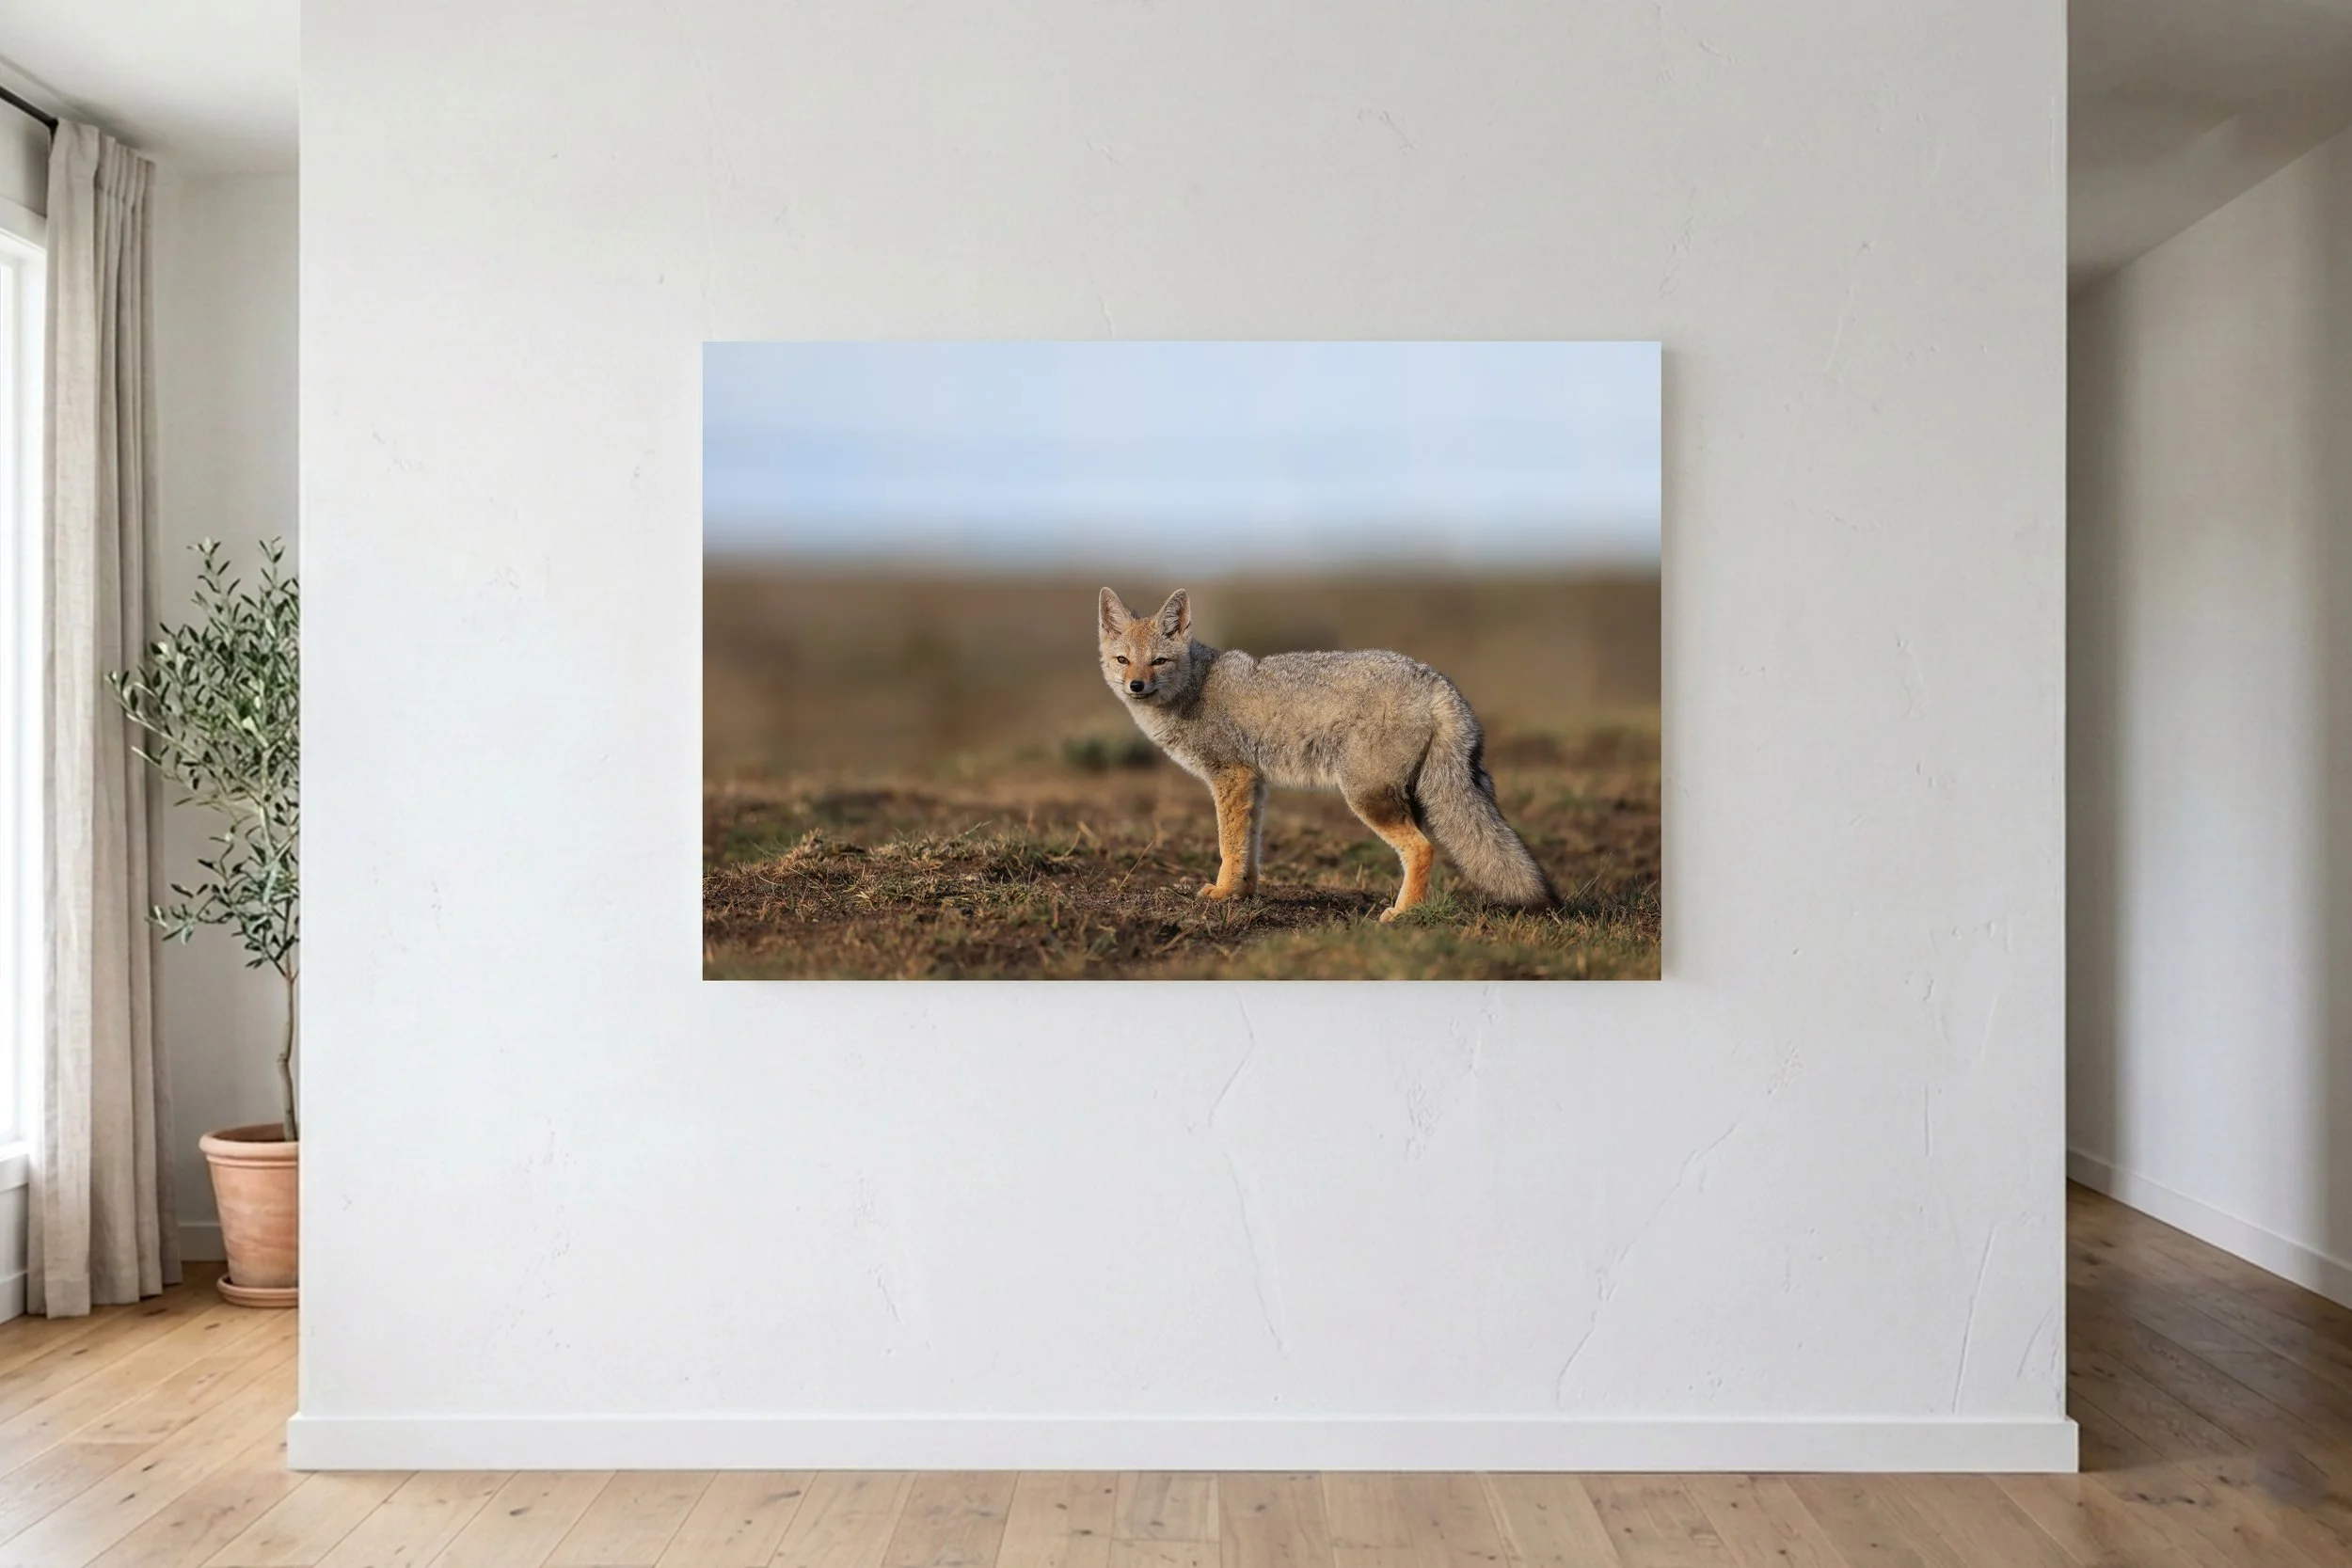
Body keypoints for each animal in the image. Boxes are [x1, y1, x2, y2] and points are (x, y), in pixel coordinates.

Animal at [1097, 587, 1559, 922]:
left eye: (1158, 661)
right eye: (1123, 660)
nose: (1136, 686)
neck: (1194, 686)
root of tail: (1437, 681)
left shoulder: (1230, 776)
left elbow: (1229, 844)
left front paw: (1223, 892)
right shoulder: (1254, 783)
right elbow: (1250, 846)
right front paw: (1243, 892)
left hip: (1367, 796)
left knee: (1422, 848)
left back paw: (1404, 914)